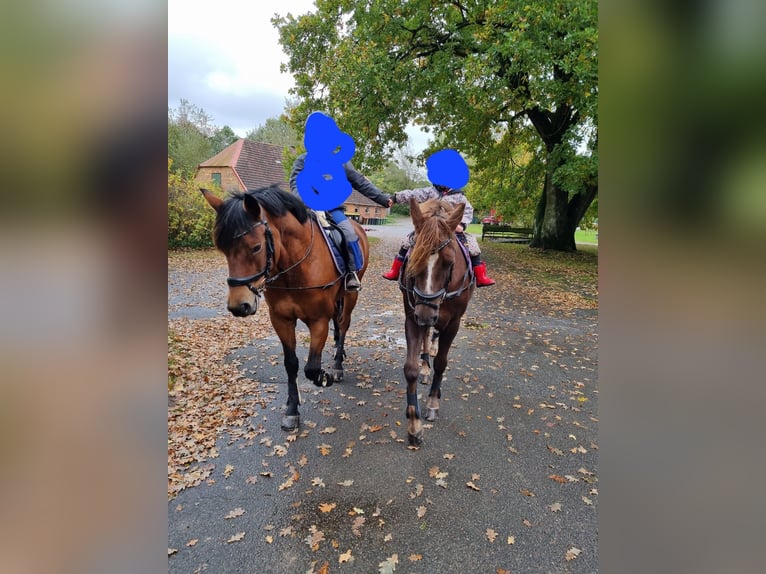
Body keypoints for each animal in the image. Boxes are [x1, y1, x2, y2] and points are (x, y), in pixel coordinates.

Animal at [202, 186, 370, 432]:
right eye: (222, 249)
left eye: (256, 247)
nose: (238, 305)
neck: (295, 267)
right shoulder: (281, 320)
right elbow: (291, 364)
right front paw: (291, 410)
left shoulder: (318, 320)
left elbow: (311, 368)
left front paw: (325, 376)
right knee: (338, 324)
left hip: (351, 295)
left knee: (344, 323)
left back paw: (338, 364)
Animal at [400, 200, 476, 448]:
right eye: (413, 259)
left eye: (449, 262)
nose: (425, 314)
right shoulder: (412, 317)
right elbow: (410, 369)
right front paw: (414, 424)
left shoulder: (453, 323)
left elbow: (442, 363)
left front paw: (433, 402)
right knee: (427, 336)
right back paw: (426, 366)